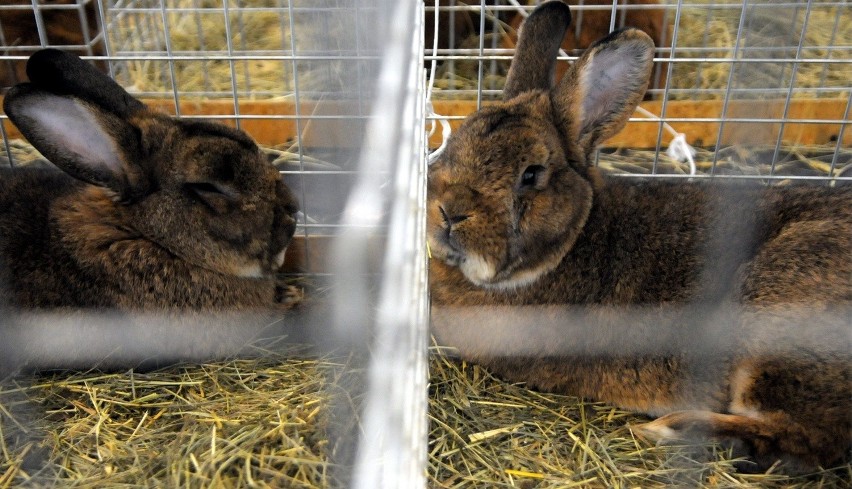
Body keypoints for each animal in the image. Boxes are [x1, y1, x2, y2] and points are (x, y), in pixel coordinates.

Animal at [430, 0, 848, 472]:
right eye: (454, 143)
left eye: (531, 175)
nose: (449, 212)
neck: (571, 241)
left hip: (777, 323)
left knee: (807, 438)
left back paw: (678, 430)